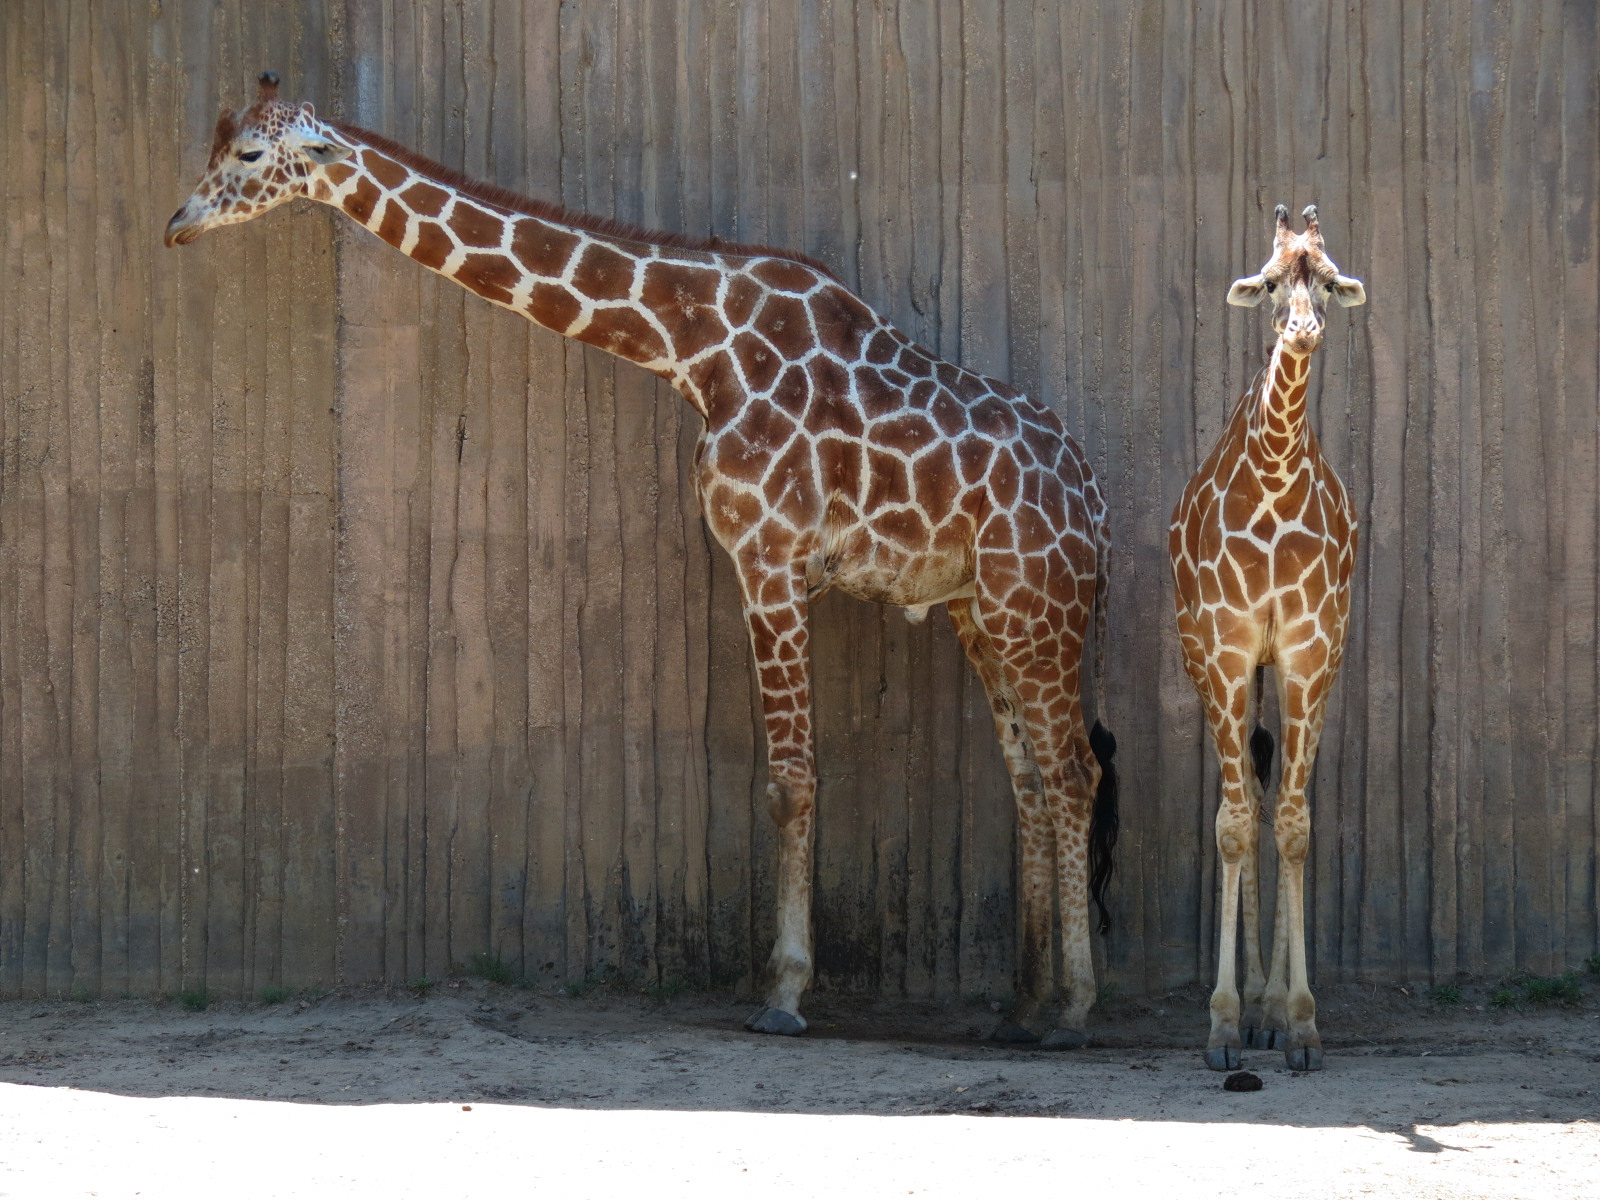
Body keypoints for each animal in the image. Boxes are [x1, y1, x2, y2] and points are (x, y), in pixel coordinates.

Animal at [166, 73, 1120, 1046]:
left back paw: (1076, 1009)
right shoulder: (778, 564)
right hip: (982, 609)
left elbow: (790, 780)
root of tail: (1094, 507)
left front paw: (783, 993)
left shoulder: (769, 556)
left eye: (248, 154)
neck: (696, 346)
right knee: (1030, 779)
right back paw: (1023, 1007)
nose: (177, 224)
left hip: (1039, 605)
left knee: (1074, 770)